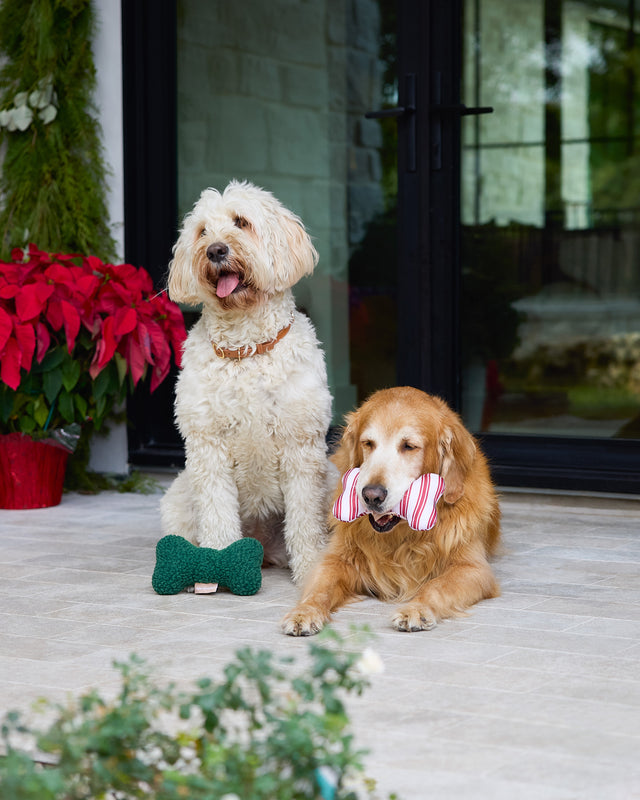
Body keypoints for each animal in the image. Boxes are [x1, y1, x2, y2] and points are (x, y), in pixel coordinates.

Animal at [160, 180, 336, 580]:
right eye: (202, 231)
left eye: (241, 222)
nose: (215, 249)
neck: (247, 349)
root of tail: (265, 550)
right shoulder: (208, 446)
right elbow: (217, 510)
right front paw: (218, 561)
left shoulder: (301, 446)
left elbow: (304, 519)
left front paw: (311, 567)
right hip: (179, 495)